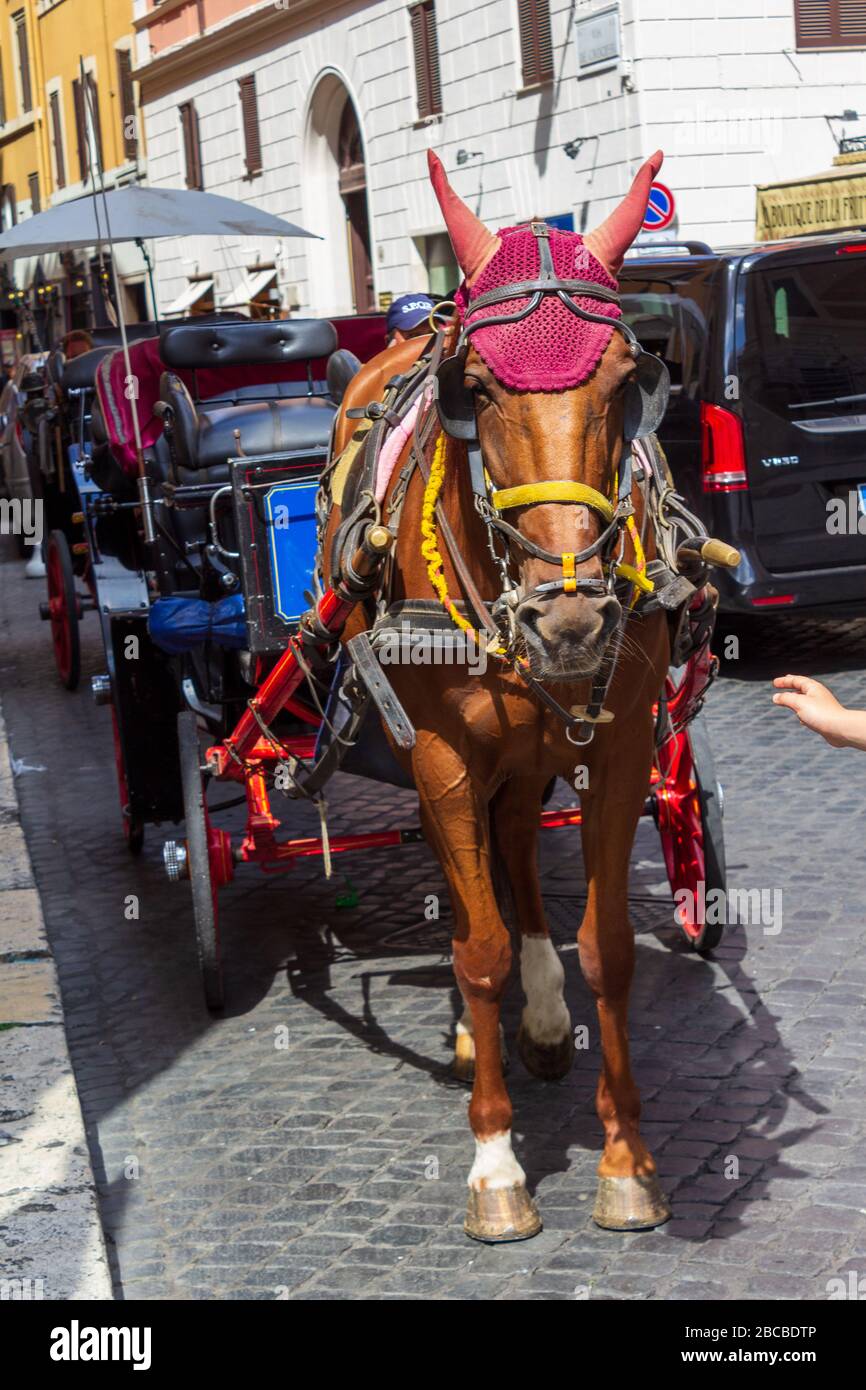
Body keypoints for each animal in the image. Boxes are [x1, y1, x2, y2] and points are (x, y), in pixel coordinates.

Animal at [325, 149, 670, 1239]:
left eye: (626, 381)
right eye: (473, 389)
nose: (571, 620)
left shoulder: (619, 745)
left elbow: (609, 947)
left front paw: (625, 1159)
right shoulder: (438, 752)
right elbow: (474, 950)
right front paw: (494, 1164)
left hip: (535, 745)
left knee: (514, 839)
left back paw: (545, 1011)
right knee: (472, 866)